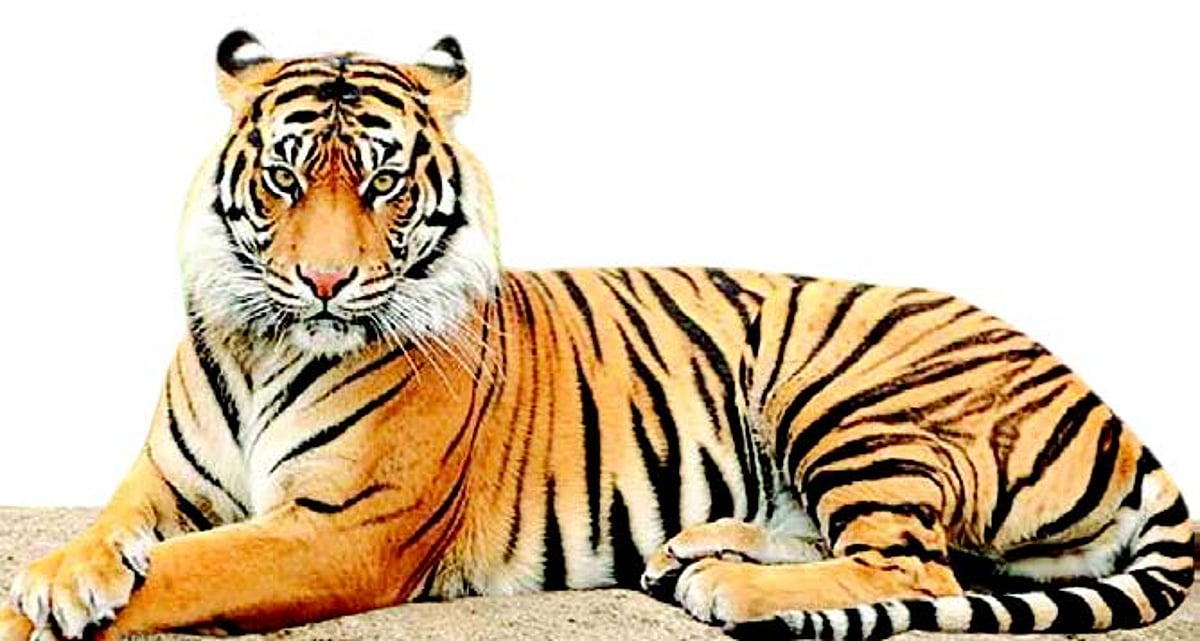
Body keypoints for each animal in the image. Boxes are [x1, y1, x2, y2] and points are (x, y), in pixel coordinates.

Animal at [0, 30, 1193, 641]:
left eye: (383, 183)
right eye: (289, 177)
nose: (325, 280)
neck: (265, 342)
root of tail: (1118, 414)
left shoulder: (341, 526)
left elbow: (183, 572)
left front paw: (39, 606)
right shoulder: (162, 483)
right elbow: (113, 535)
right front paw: (61, 574)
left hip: (850, 386)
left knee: (912, 562)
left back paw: (726, 588)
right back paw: (695, 548)